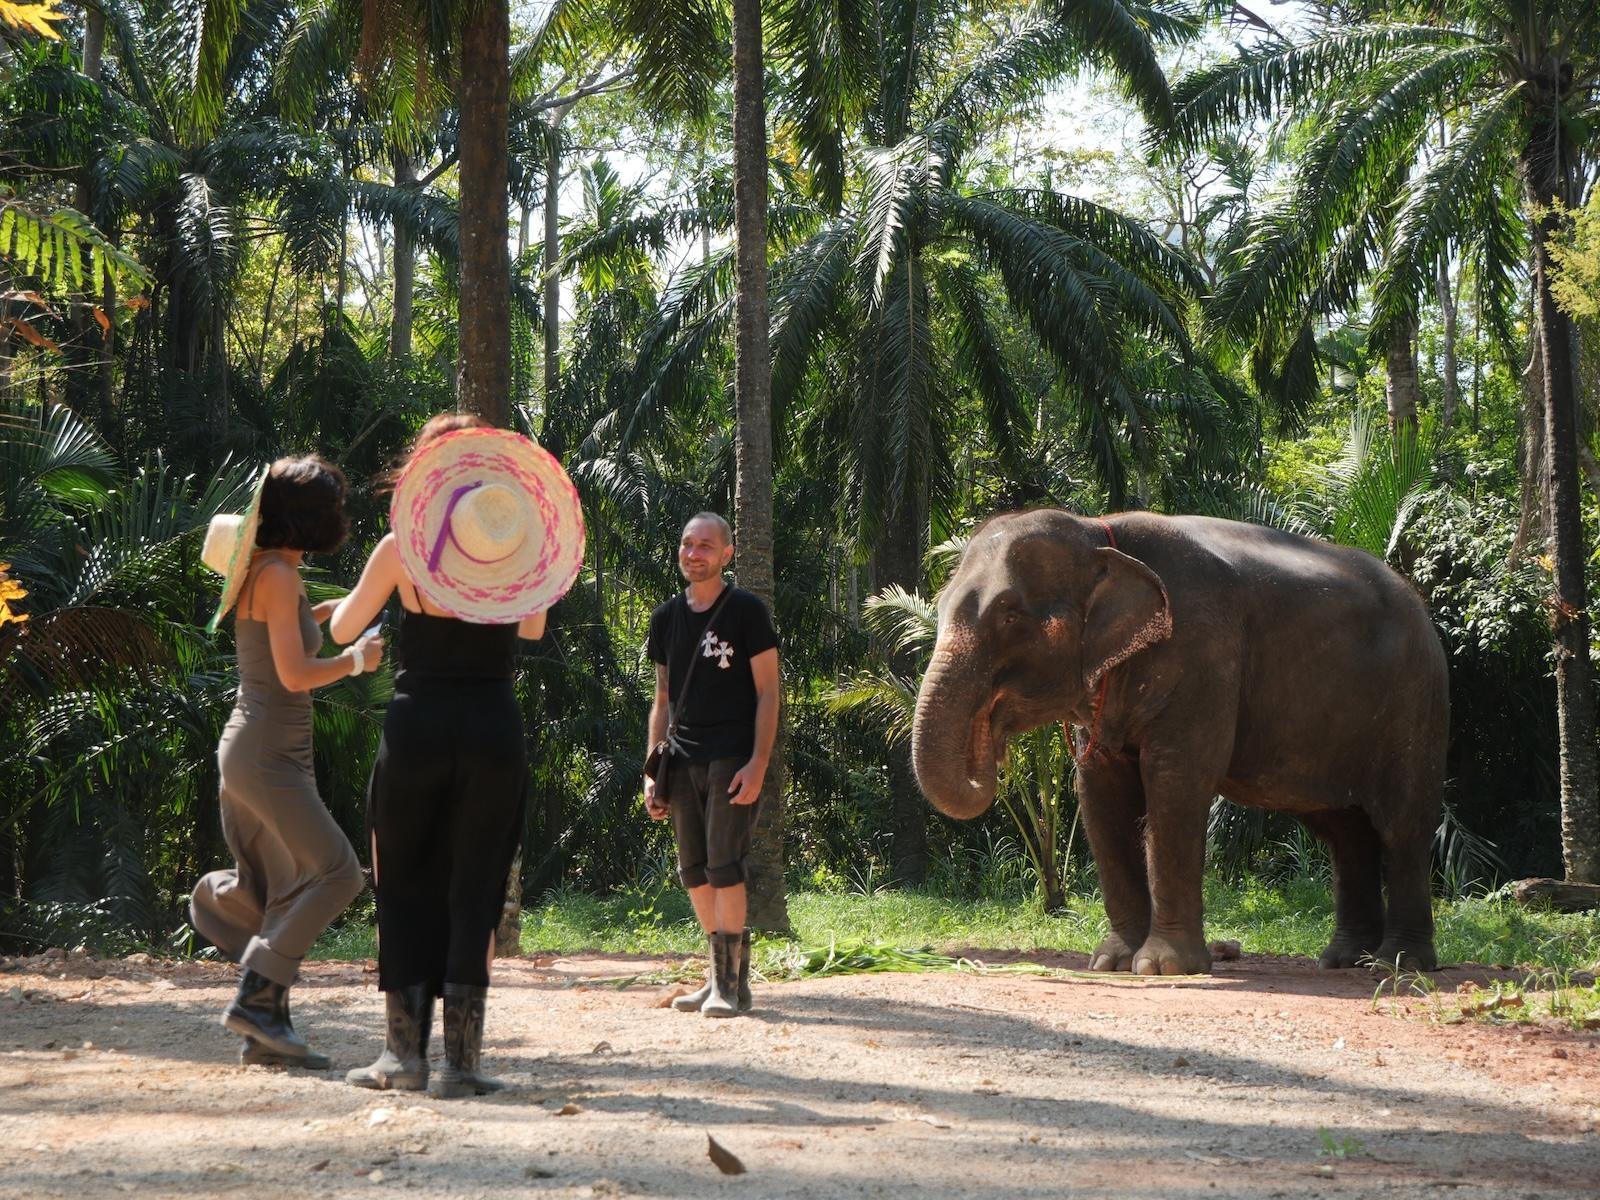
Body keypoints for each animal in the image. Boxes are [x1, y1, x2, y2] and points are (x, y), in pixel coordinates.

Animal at [911, 508, 1447, 976]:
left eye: (1009, 615)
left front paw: (1163, 967)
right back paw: (1343, 960)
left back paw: (1397, 965)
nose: (993, 745)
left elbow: (1174, 782)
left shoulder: (1203, 653)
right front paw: (1111, 963)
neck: (1096, 533)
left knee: (1402, 825)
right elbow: (1100, 792)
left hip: (1416, 702)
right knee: (1345, 833)